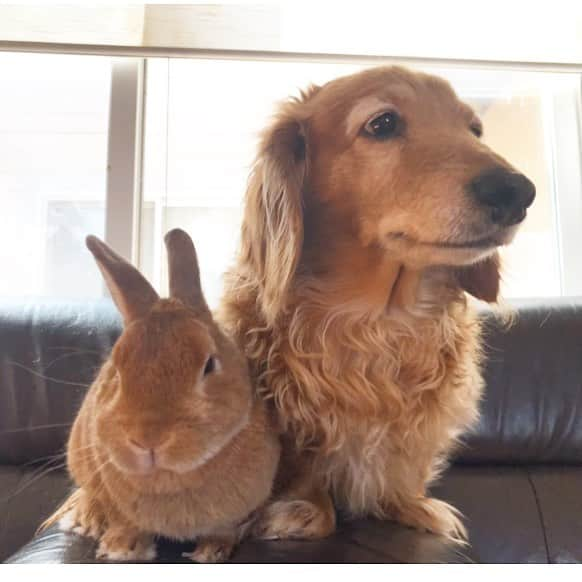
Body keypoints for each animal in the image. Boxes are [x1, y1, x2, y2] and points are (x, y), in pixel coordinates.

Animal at [42, 230, 282, 564]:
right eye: (116, 370)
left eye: (209, 365)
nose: (147, 439)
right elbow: (124, 520)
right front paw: (121, 548)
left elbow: (225, 528)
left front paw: (211, 551)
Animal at [220, 66, 540, 544]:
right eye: (383, 123)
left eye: (475, 129)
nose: (518, 192)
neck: (382, 315)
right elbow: (307, 468)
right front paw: (302, 510)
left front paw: (410, 505)